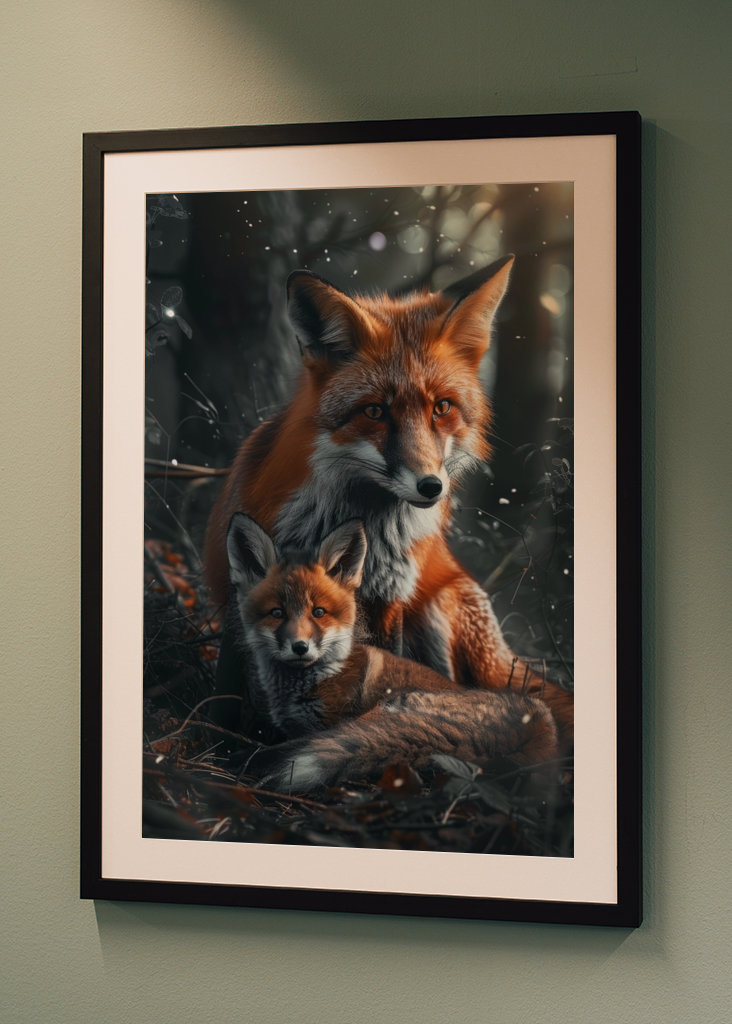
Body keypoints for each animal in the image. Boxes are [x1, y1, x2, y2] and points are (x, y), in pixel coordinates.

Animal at [204, 256, 573, 748]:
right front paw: (217, 744)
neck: (362, 523)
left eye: (442, 407)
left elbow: (388, 672)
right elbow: (224, 696)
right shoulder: (238, 592)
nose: (431, 486)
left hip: (440, 608)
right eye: (375, 411)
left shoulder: (390, 599)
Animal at [226, 513, 559, 791]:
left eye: (318, 612)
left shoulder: (329, 723)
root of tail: (536, 727)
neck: (320, 676)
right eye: (277, 613)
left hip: (386, 710)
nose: (300, 647)